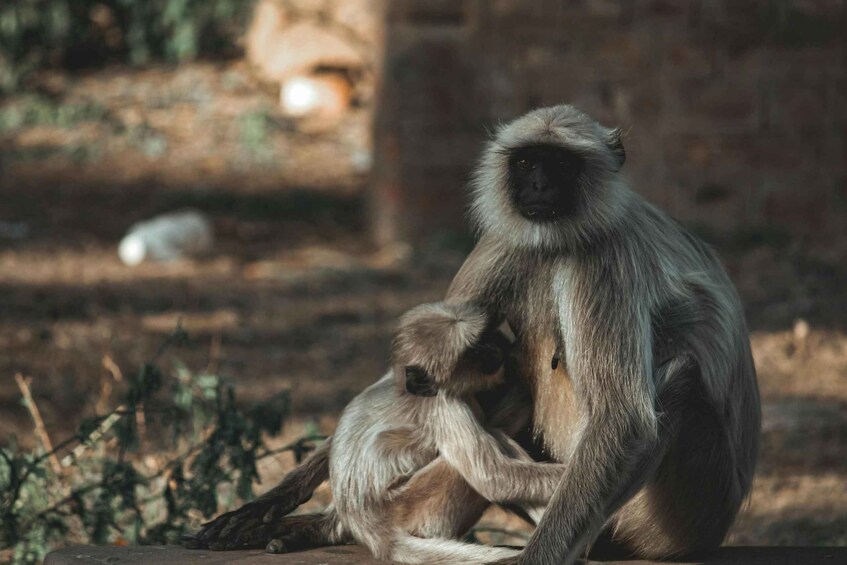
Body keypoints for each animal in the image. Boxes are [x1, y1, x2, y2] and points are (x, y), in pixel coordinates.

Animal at [186, 301, 564, 563]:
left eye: (486, 339)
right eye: (475, 351)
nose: (496, 348)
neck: (404, 385)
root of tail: (367, 526)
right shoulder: (444, 405)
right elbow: (492, 477)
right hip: (417, 507)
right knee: (490, 447)